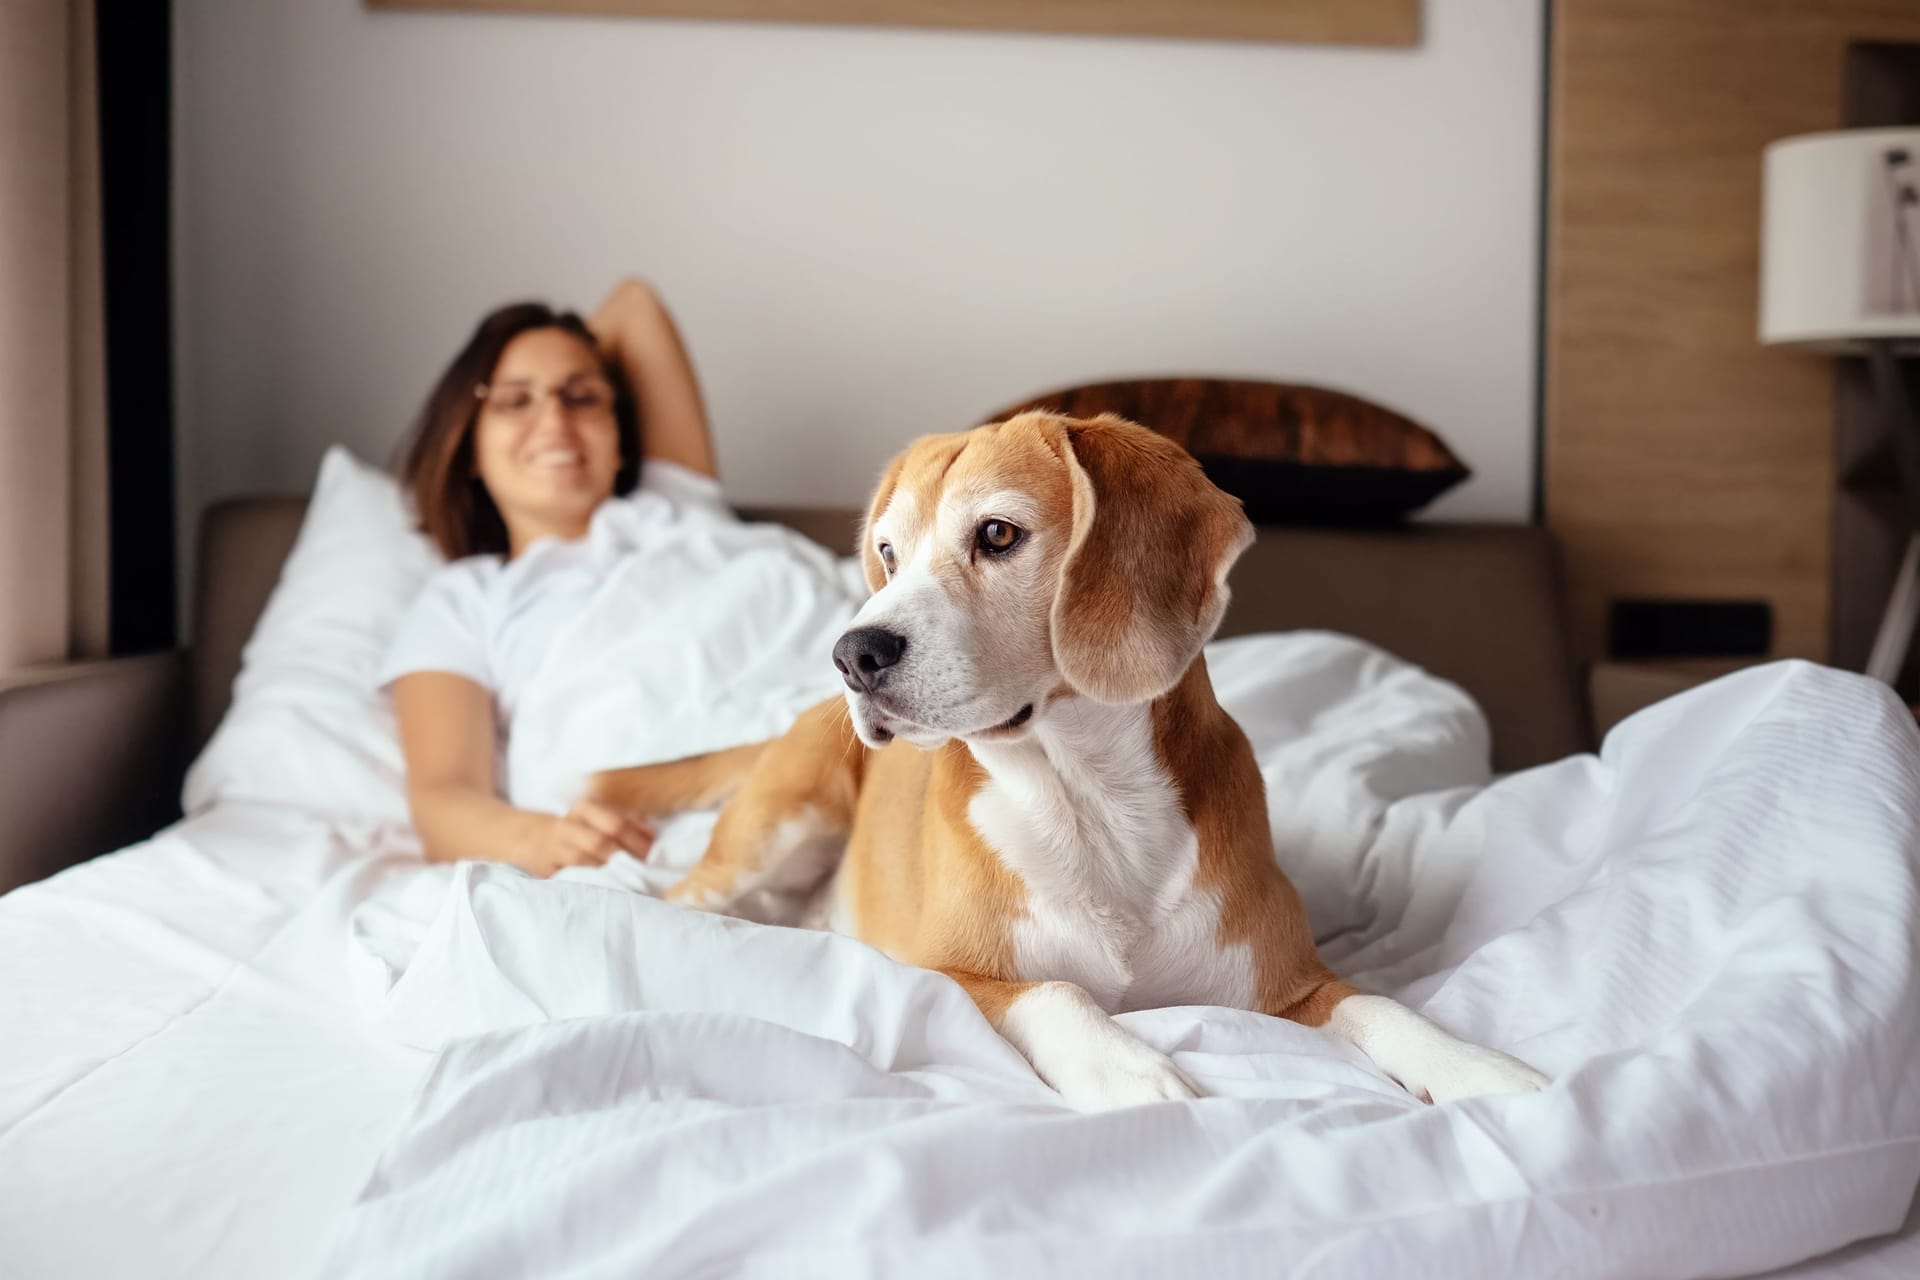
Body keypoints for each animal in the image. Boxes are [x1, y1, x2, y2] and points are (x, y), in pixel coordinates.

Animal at [591, 412, 1551, 1113]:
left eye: (998, 534)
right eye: (889, 554)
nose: (852, 654)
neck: (1087, 797)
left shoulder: (1291, 985)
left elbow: (1383, 1005)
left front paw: (1477, 1067)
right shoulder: (947, 974)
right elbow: (1057, 992)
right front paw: (1128, 1070)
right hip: (775, 829)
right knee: (680, 895)